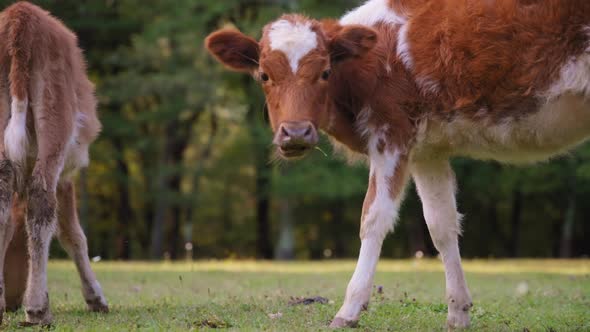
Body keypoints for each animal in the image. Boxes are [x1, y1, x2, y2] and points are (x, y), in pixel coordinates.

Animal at [0, 1, 108, 326]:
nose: (13, 302)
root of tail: (19, 16)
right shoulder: (67, 177)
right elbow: (73, 234)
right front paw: (95, 297)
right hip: (55, 116)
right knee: (41, 198)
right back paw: (37, 308)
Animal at [207, 0, 590, 328]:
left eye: (326, 72)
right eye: (264, 75)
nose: (296, 132)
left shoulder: (390, 134)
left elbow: (373, 218)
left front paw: (349, 309)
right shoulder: (428, 149)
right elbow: (441, 224)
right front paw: (458, 312)